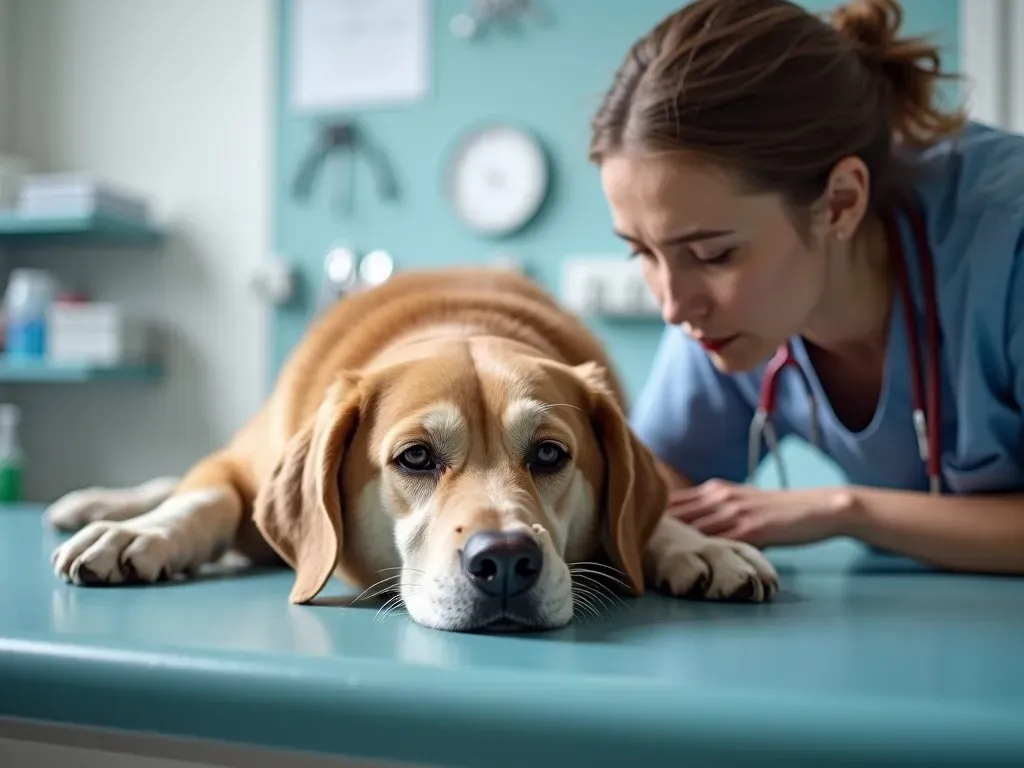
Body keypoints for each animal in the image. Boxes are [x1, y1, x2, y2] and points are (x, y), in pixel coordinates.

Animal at [46, 268, 774, 634]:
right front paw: (140, 533)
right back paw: (100, 507)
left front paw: (698, 543)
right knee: (178, 480)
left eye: (548, 456)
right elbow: (202, 497)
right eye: (416, 458)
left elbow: (659, 518)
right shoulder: (237, 469)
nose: (504, 561)